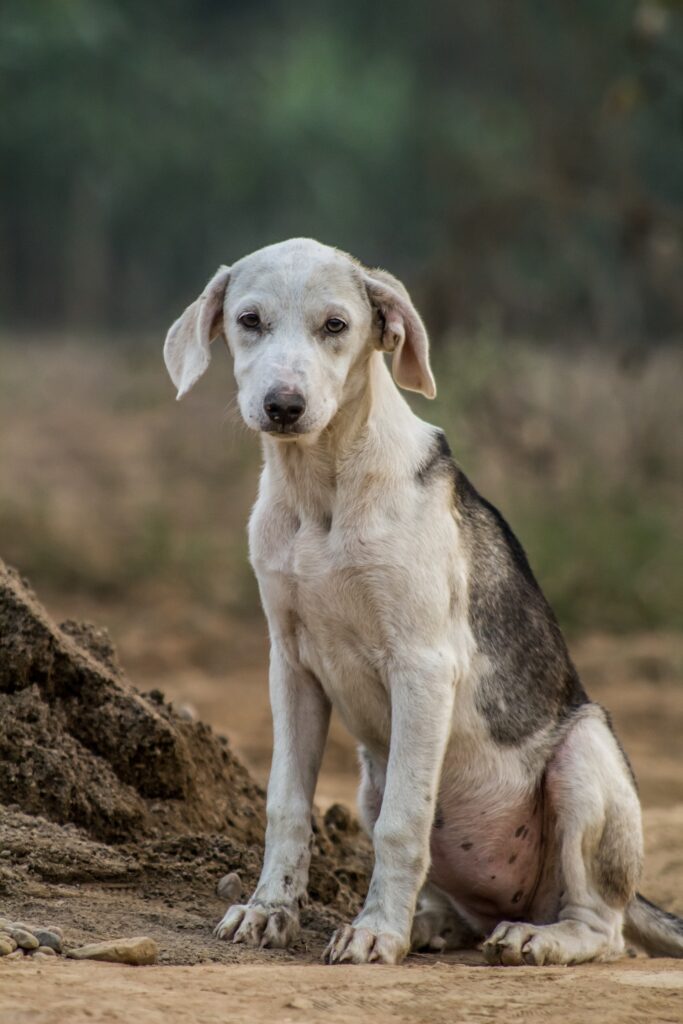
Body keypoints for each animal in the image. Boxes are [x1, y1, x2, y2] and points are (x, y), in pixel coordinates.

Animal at [165, 235, 683, 962]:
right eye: (249, 321)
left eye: (336, 325)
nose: (283, 405)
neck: (322, 489)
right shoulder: (289, 666)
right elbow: (286, 806)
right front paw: (270, 910)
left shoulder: (423, 665)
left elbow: (402, 825)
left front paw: (376, 932)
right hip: (369, 776)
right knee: (462, 901)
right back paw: (432, 923)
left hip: (583, 754)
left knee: (603, 929)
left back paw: (536, 938)